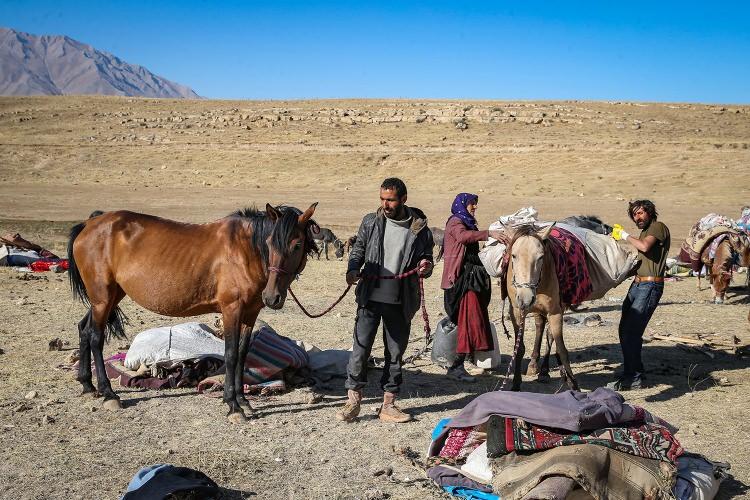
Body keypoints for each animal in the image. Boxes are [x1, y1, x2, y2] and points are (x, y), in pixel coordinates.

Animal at [65, 203, 320, 422]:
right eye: (270, 243)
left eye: (297, 245)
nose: (272, 297)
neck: (245, 251)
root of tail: (90, 223)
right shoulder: (232, 309)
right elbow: (231, 355)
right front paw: (233, 406)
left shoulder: (250, 313)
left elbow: (242, 354)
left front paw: (243, 401)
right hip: (103, 298)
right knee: (95, 337)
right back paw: (108, 393)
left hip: (109, 297)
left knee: (84, 329)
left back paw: (88, 385)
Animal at [506, 225, 580, 392]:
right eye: (513, 255)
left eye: (540, 257)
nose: (526, 298)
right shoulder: (517, 312)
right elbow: (519, 348)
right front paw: (515, 384)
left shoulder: (555, 312)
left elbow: (561, 348)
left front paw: (574, 384)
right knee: (540, 326)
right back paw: (534, 365)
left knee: (548, 334)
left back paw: (544, 372)